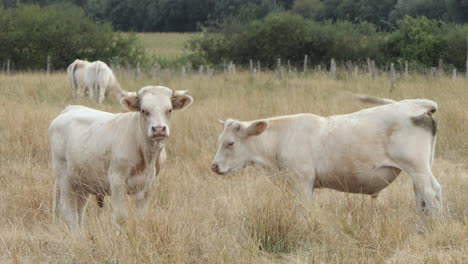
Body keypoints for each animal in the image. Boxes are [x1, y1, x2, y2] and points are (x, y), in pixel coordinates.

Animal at [48, 85, 193, 228]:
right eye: (143, 110)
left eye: (169, 110)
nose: (158, 129)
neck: (147, 156)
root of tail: (69, 109)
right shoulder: (117, 180)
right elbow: (120, 217)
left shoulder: (149, 185)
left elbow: (141, 216)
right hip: (64, 178)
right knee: (69, 211)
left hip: (83, 181)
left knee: (80, 211)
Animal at [212, 97, 442, 225]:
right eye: (219, 139)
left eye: (230, 143)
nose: (214, 166)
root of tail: (417, 104)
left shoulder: (302, 182)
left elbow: (303, 211)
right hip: (421, 169)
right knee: (422, 197)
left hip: (418, 168)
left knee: (431, 194)